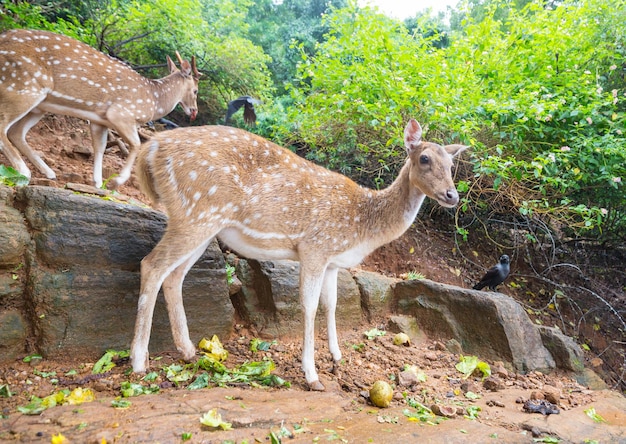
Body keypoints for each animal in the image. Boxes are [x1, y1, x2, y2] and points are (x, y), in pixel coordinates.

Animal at [0, 27, 200, 187]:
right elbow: (137, 144)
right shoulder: (121, 113)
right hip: (22, 87)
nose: (194, 111)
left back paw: (49, 172)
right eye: (196, 90)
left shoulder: (99, 120)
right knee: (4, 128)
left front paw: (97, 182)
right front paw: (116, 181)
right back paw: (24, 173)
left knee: (16, 132)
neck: (154, 100)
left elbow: (100, 147)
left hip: (38, 106)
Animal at [130, 119, 464, 390]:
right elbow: (309, 306)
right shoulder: (315, 247)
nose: (452, 195)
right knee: (151, 265)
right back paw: (138, 361)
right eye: (424, 158)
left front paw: (337, 357)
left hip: (204, 223)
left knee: (174, 275)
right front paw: (312, 375)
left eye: (451, 165)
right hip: (196, 212)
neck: (361, 228)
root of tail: (151, 148)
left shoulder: (332, 262)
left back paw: (187, 350)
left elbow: (332, 305)